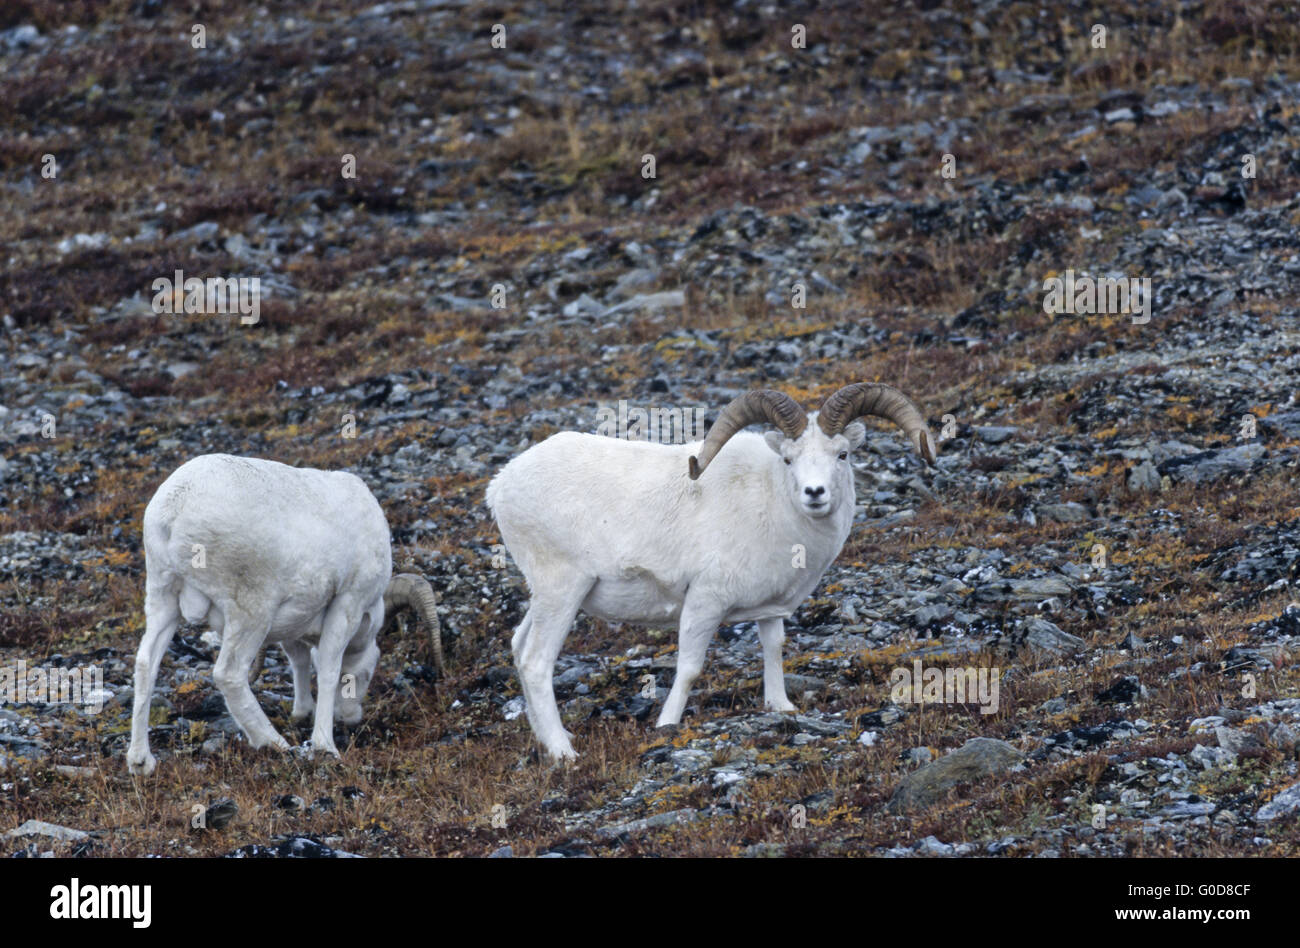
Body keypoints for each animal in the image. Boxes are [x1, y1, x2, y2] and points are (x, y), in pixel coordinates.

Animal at [128, 455, 441, 775]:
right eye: (368, 671)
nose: (351, 719)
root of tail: (174, 509)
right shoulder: (347, 605)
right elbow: (328, 669)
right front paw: (325, 746)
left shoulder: (296, 622)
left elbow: (299, 661)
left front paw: (302, 713)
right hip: (251, 610)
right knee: (229, 674)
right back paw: (274, 743)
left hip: (164, 599)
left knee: (146, 663)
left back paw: (141, 762)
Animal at [488, 379, 935, 759]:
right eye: (788, 459)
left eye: (841, 455)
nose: (814, 493)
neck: (771, 505)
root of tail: (500, 486)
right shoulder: (705, 601)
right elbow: (689, 668)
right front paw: (666, 725)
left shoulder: (769, 610)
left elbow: (773, 647)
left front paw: (781, 706)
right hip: (563, 590)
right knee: (536, 662)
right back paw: (564, 753)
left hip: (547, 597)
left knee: (518, 648)